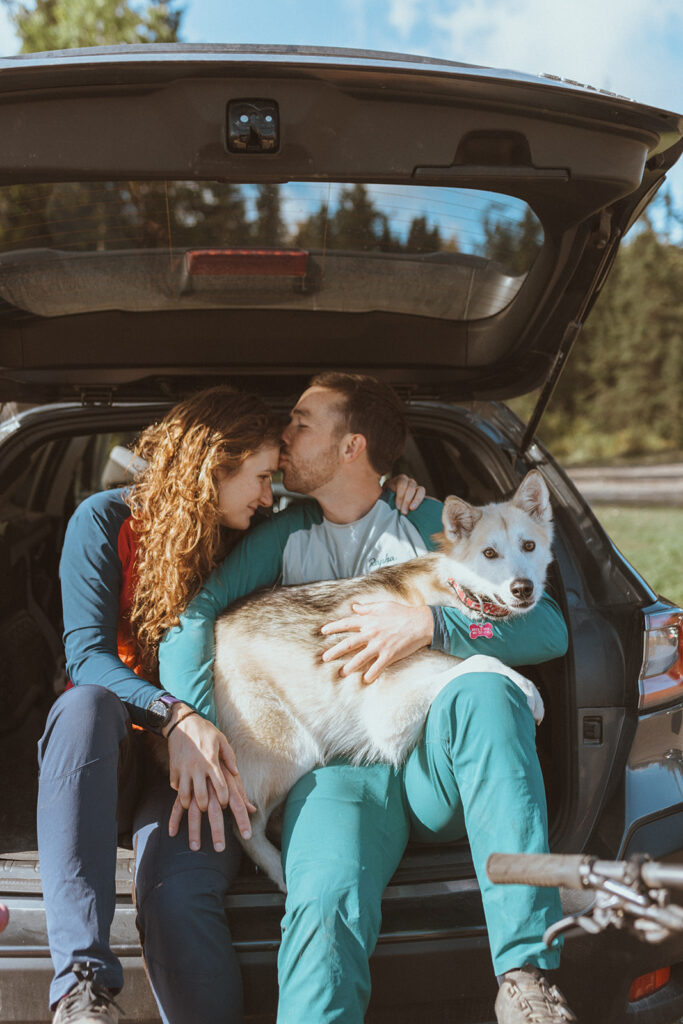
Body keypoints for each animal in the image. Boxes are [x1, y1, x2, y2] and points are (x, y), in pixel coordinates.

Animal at [214, 471, 557, 888]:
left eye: (528, 546)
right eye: (489, 554)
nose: (522, 588)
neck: (454, 594)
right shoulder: (389, 717)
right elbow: (480, 659)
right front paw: (528, 689)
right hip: (294, 748)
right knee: (244, 825)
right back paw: (278, 869)